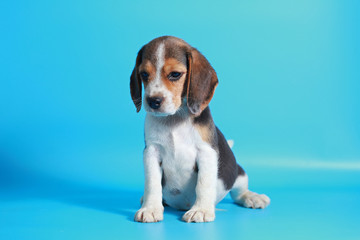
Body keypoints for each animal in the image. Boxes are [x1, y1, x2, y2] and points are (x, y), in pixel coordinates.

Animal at [130, 35, 270, 223]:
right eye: (144, 74)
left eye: (175, 74)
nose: (153, 101)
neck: (175, 119)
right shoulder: (151, 152)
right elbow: (152, 183)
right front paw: (150, 208)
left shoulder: (206, 153)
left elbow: (203, 184)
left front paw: (201, 210)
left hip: (237, 173)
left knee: (238, 191)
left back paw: (252, 197)